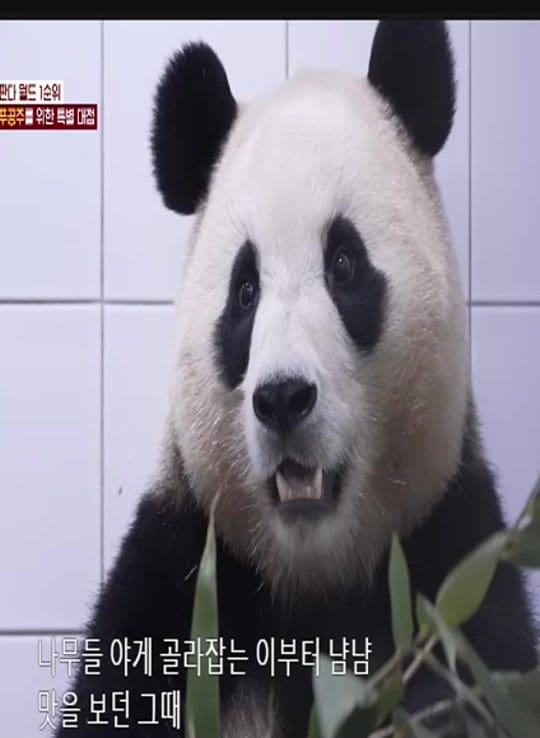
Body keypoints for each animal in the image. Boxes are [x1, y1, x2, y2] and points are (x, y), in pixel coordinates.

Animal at [57, 20, 537, 738]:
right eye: (244, 292)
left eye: (344, 265)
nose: (283, 398)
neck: (311, 578)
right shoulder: (178, 577)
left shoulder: (456, 556)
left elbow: (475, 680)